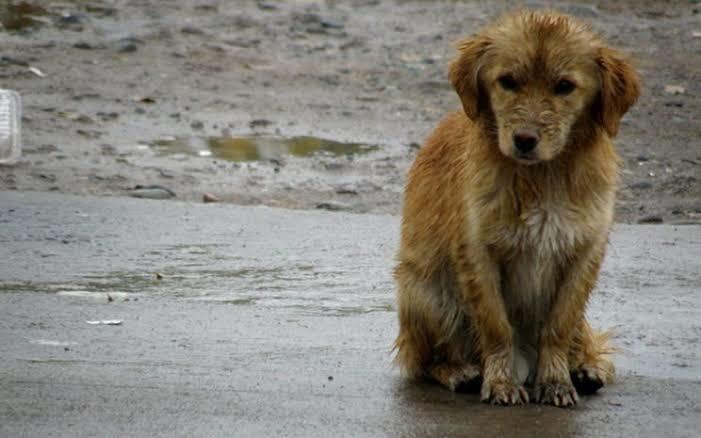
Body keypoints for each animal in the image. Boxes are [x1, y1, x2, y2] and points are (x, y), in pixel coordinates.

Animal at [394, 10, 640, 408]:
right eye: (507, 81)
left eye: (565, 86)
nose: (524, 140)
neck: (542, 176)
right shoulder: (478, 253)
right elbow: (496, 327)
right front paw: (500, 381)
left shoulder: (584, 254)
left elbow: (558, 326)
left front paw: (555, 380)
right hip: (427, 293)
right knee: (426, 361)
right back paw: (460, 372)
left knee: (585, 341)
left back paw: (586, 367)